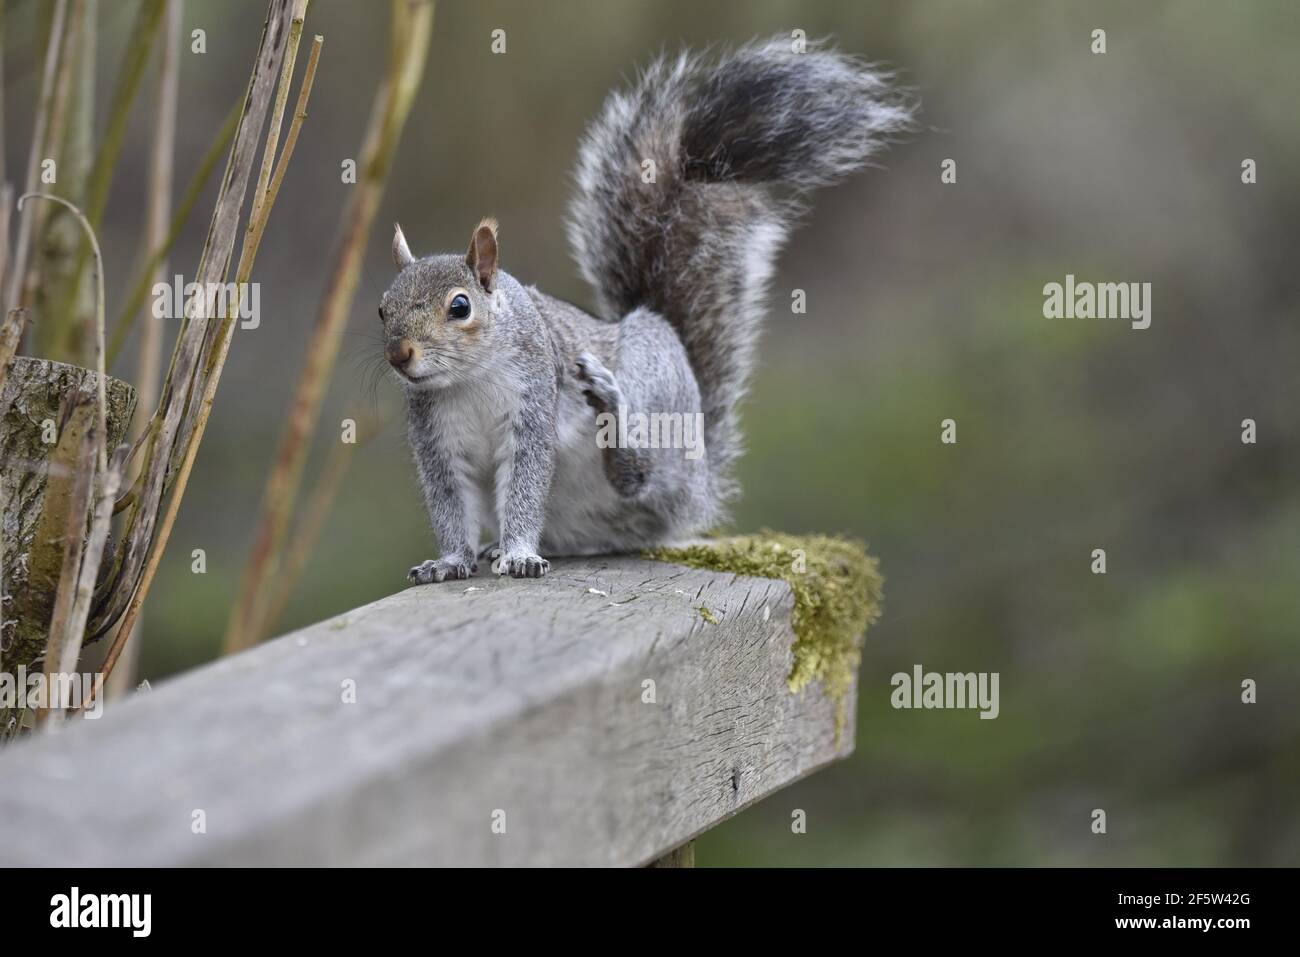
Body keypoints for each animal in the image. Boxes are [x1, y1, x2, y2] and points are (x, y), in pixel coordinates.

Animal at [379, 35, 915, 582]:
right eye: (382, 309)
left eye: (460, 307)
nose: (399, 355)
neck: (469, 379)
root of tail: (701, 484)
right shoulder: (437, 442)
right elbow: (448, 504)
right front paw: (450, 561)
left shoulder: (532, 407)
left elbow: (527, 485)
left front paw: (521, 554)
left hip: (657, 391)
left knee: (644, 480)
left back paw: (614, 428)